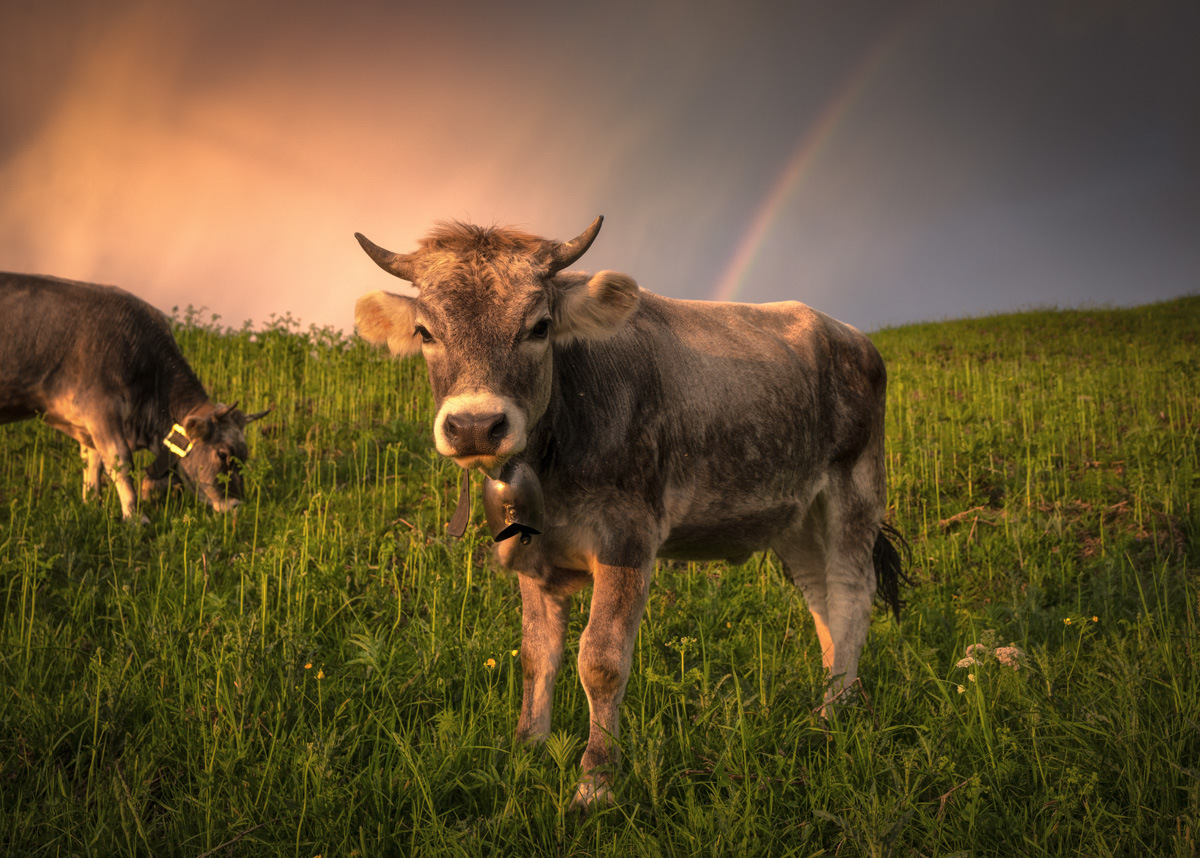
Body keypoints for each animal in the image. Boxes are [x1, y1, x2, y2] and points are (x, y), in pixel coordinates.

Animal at [0, 273, 269, 521]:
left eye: (244, 456)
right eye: (223, 454)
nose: (237, 506)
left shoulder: (88, 424)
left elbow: (92, 463)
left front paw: (92, 507)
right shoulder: (101, 408)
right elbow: (120, 462)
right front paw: (135, 516)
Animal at [353, 217, 907, 806]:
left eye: (540, 327)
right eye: (425, 332)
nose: (476, 426)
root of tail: (846, 332)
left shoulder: (628, 537)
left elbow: (600, 660)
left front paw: (596, 781)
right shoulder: (533, 550)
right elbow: (536, 655)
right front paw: (526, 749)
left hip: (856, 486)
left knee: (851, 594)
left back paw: (835, 713)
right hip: (795, 515)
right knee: (821, 599)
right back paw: (829, 697)